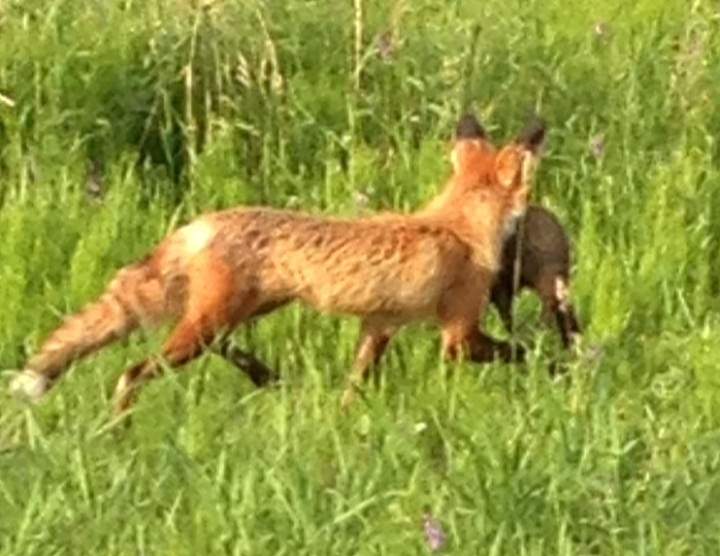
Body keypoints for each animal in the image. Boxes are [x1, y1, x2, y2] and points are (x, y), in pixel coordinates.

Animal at [10, 113, 546, 415]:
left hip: (235, 314)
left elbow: (354, 387)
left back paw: (265, 375)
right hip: (212, 321)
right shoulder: (459, 334)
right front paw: (557, 369)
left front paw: (345, 426)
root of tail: (201, 222)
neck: (458, 224)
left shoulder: (378, 326)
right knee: (133, 373)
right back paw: (119, 432)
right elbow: (520, 352)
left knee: (215, 347)